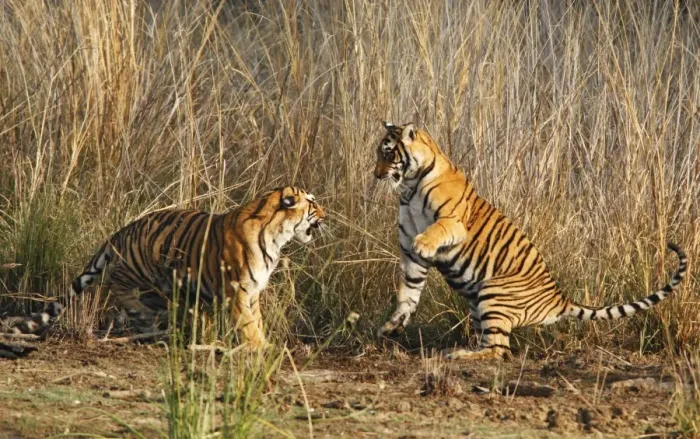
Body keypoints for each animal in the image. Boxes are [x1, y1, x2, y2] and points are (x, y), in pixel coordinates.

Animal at [6, 186, 325, 347]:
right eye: (312, 203)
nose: (325, 213)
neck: (278, 235)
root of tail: (119, 233)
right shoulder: (237, 292)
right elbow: (249, 327)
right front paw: (260, 350)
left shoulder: (253, 292)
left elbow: (256, 322)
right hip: (138, 277)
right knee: (123, 294)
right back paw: (151, 324)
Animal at [374, 121, 687, 360]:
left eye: (388, 155)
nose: (376, 175)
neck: (410, 186)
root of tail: (559, 299)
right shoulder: (410, 256)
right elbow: (408, 294)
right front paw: (391, 327)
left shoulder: (454, 221)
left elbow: (436, 230)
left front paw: (425, 243)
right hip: (479, 302)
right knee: (491, 342)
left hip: (494, 292)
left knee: (498, 350)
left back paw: (459, 354)